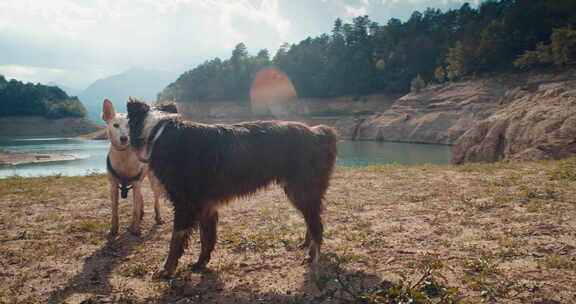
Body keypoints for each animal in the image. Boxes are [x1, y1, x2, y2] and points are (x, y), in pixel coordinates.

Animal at [103, 99, 170, 235]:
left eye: (130, 125)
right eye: (115, 125)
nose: (124, 138)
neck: (123, 158)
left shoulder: (136, 182)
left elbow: (135, 208)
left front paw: (135, 229)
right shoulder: (113, 185)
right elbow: (114, 209)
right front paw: (113, 228)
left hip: (153, 180)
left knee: (155, 198)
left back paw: (158, 217)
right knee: (140, 197)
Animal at [126, 97, 338, 278]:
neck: (158, 132)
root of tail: (318, 132)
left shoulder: (185, 205)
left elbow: (175, 241)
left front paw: (167, 270)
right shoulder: (206, 207)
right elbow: (206, 239)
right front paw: (200, 264)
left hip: (301, 190)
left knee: (317, 225)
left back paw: (312, 255)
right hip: (298, 192)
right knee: (311, 221)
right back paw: (306, 244)